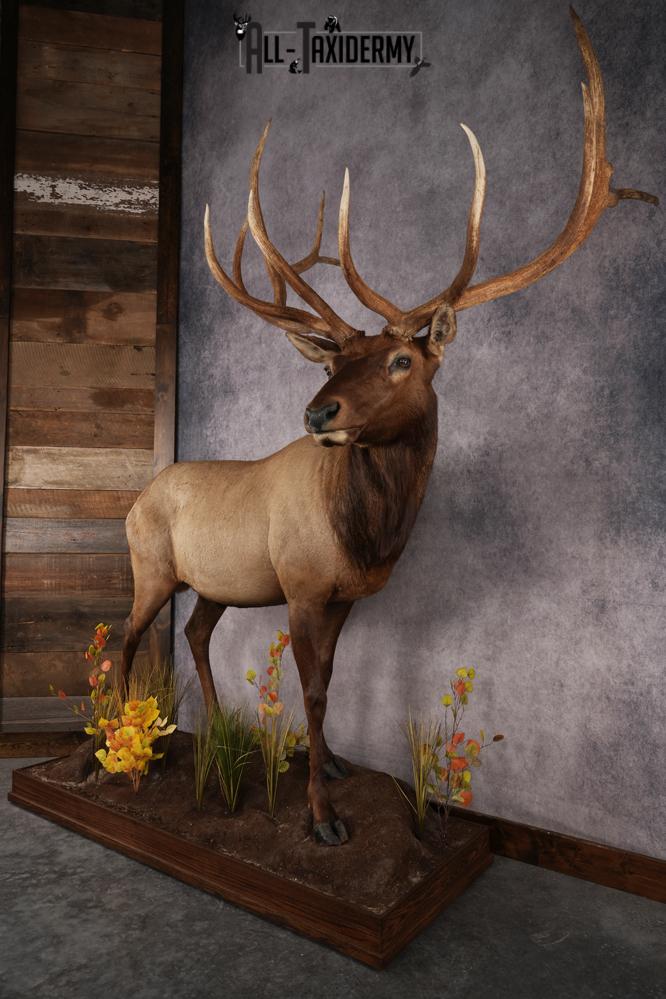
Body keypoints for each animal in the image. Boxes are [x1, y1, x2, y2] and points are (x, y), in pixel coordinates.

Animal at [121, 10, 657, 845]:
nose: (318, 411)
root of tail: (134, 499)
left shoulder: (346, 594)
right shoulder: (302, 584)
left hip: (215, 581)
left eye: (403, 358)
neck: (369, 535)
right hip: (149, 564)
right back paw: (125, 756)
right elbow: (310, 690)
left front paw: (335, 765)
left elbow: (331, 683)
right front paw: (321, 816)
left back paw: (210, 737)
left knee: (195, 633)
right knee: (125, 638)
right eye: (336, 358)